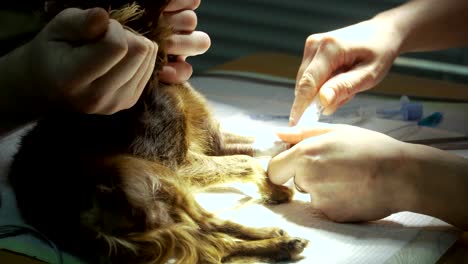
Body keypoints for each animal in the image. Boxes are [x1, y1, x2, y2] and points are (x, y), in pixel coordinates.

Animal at [7, 1, 308, 262]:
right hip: (156, 178)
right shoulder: (179, 163)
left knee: (208, 229)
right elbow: (245, 160)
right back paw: (280, 243)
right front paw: (274, 186)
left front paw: (290, 156)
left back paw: (275, 236)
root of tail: (69, 216)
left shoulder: (215, 141)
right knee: (211, 242)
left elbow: (260, 145)